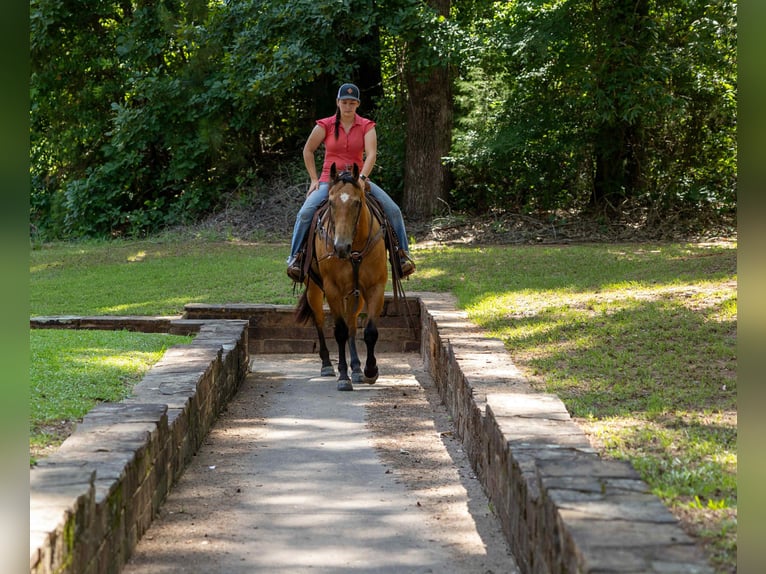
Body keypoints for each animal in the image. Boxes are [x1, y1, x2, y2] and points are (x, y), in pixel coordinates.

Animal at [295, 163, 388, 391]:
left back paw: (356, 368)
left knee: (352, 324)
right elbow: (339, 331)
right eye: (330, 202)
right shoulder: (333, 289)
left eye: (357, 202)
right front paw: (343, 377)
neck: (354, 249)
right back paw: (328, 364)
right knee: (320, 321)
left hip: (355, 294)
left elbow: (369, 331)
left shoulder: (375, 287)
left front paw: (369, 371)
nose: (340, 247)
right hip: (314, 290)